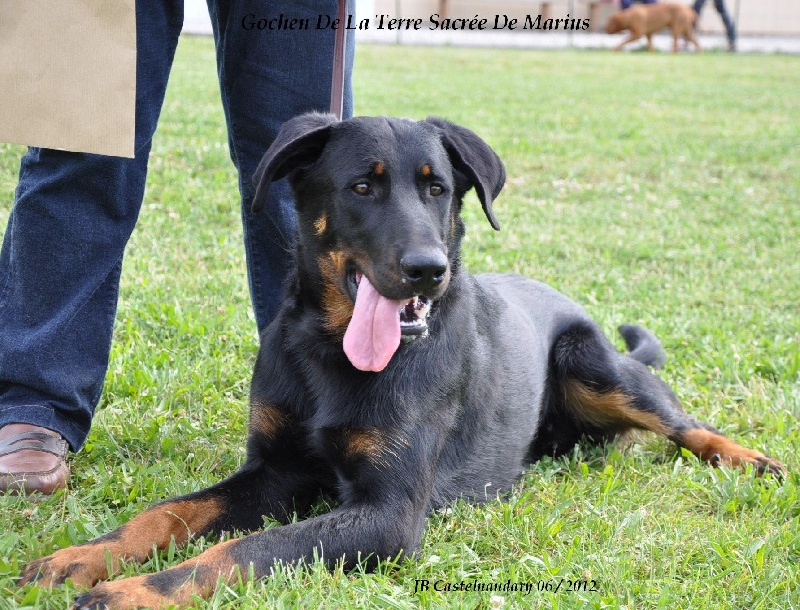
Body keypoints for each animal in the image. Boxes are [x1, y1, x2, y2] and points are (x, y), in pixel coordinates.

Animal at [18, 113, 780, 604]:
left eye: (438, 187)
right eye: (362, 185)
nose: (428, 270)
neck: (329, 353)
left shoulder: (386, 514)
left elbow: (243, 550)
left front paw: (133, 592)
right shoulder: (273, 471)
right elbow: (169, 515)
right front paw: (84, 557)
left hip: (594, 366)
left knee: (682, 422)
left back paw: (750, 459)